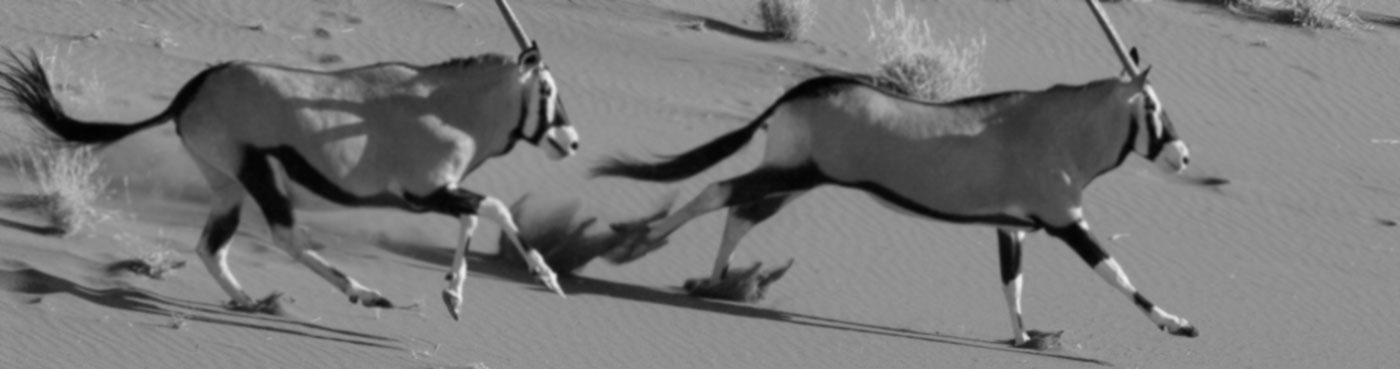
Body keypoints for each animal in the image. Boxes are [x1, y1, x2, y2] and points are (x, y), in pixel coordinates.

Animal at [0, 44, 574, 320]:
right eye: (546, 88)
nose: (569, 142)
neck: (448, 104)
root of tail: (193, 90)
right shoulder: (425, 194)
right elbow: (490, 207)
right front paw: (456, 295)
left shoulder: (436, 195)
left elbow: (489, 209)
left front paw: (544, 278)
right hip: (258, 176)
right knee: (286, 236)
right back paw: (366, 295)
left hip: (227, 185)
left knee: (212, 246)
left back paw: (250, 301)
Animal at [596, 53, 1198, 343]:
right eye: (1152, 108)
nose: (1183, 156)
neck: (1062, 129)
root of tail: (802, 90)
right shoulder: (1066, 221)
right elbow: (1115, 273)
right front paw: (1177, 324)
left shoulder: (1011, 228)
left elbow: (1012, 282)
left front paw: (1024, 336)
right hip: (794, 174)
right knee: (719, 192)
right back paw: (639, 246)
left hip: (791, 180)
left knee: (741, 211)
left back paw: (718, 283)